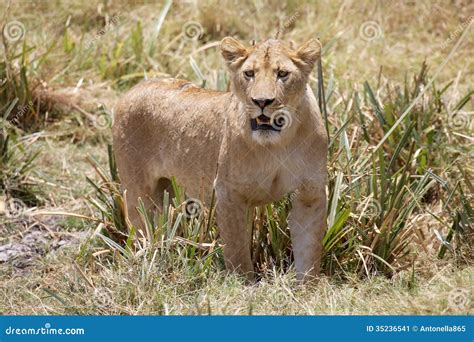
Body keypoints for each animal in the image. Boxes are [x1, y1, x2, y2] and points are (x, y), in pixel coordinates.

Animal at [113, 37, 328, 282]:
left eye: (282, 73)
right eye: (249, 73)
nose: (262, 101)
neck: (277, 145)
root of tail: (133, 89)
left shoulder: (310, 193)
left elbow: (309, 249)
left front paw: (306, 285)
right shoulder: (229, 192)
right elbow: (237, 248)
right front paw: (244, 283)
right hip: (137, 194)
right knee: (140, 228)